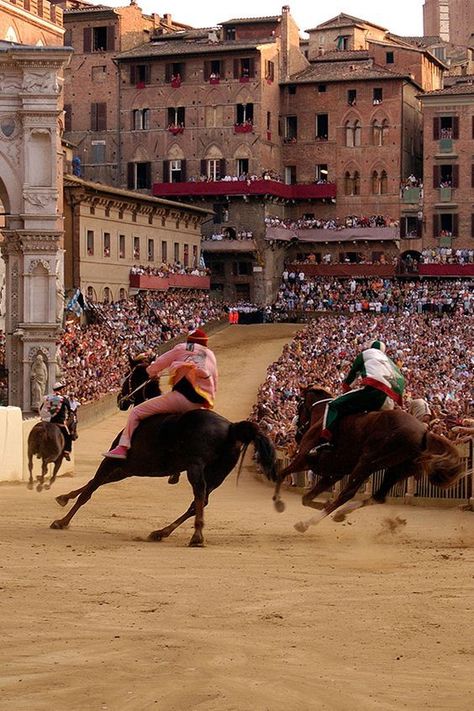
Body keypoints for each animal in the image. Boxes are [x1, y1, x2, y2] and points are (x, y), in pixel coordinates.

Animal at [51, 378, 278, 544]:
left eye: (128, 378)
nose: (121, 399)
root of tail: (231, 427)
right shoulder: (127, 468)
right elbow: (93, 483)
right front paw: (63, 497)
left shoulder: (114, 462)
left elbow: (90, 489)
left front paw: (62, 521)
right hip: (217, 474)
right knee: (199, 501)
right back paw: (161, 532)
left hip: (195, 467)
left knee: (198, 495)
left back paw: (196, 536)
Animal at [274, 386, 462, 532]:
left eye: (299, 407)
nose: (297, 434)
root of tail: (424, 431)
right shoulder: (333, 473)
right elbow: (306, 498)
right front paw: (325, 503)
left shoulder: (303, 460)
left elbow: (281, 474)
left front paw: (278, 503)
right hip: (397, 469)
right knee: (378, 496)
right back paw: (340, 513)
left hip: (367, 462)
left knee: (347, 493)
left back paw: (308, 522)